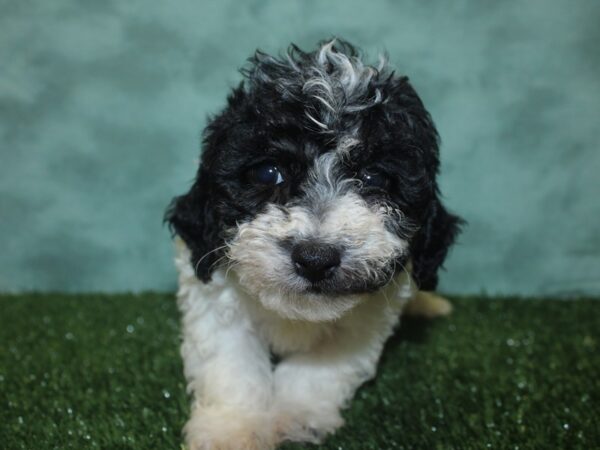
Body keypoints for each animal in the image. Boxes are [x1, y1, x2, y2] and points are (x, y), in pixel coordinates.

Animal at [164, 39, 460, 450]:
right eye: (267, 172)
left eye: (375, 178)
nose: (315, 258)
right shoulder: (213, 293)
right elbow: (231, 362)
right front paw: (233, 429)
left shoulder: (364, 323)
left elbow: (320, 370)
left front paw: (293, 415)